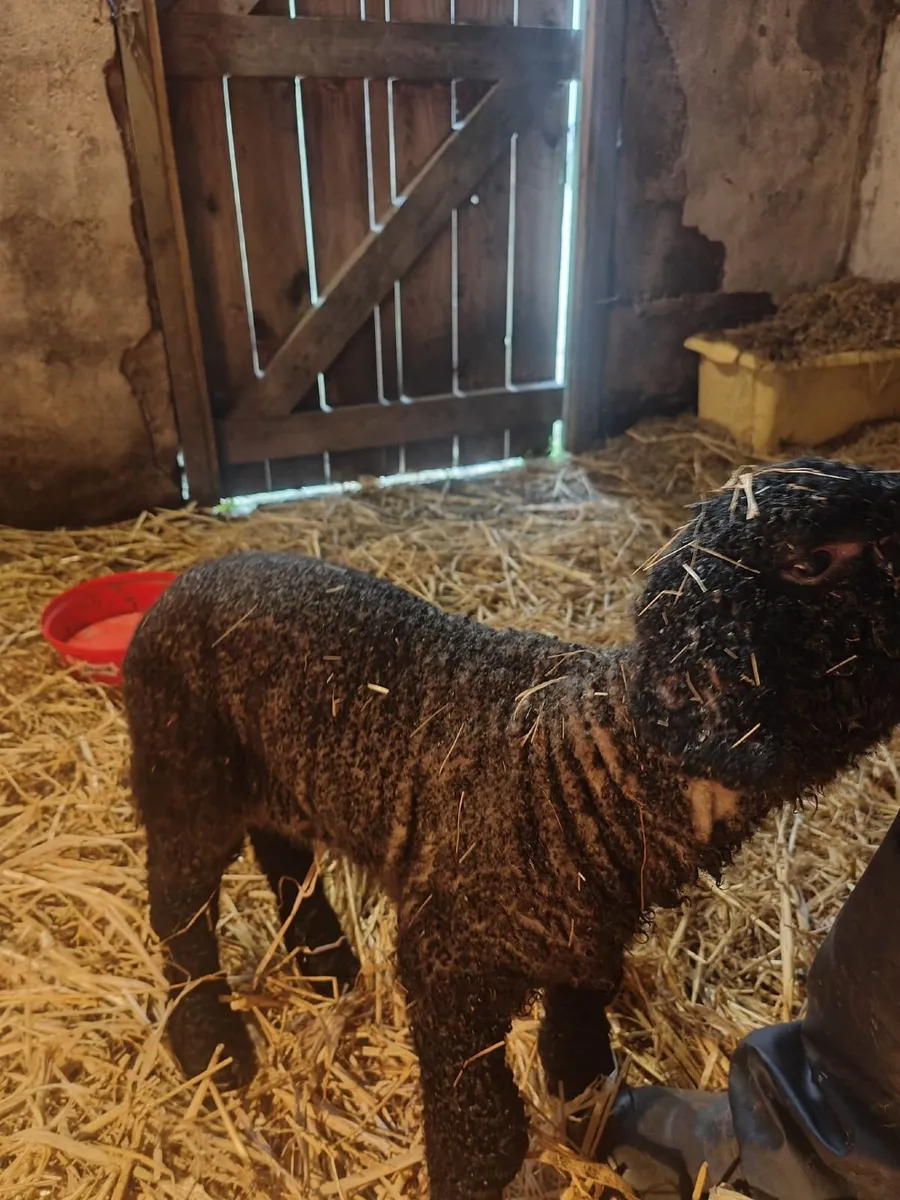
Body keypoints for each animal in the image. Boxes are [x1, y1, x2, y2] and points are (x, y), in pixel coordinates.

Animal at [123, 456, 900, 1200]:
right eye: (815, 559)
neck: (582, 768)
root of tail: (186, 581)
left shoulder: (587, 946)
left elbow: (578, 1048)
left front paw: (591, 1115)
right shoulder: (446, 963)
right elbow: (485, 1136)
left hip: (275, 777)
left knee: (282, 853)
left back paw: (323, 964)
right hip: (182, 771)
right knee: (180, 908)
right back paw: (211, 1046)